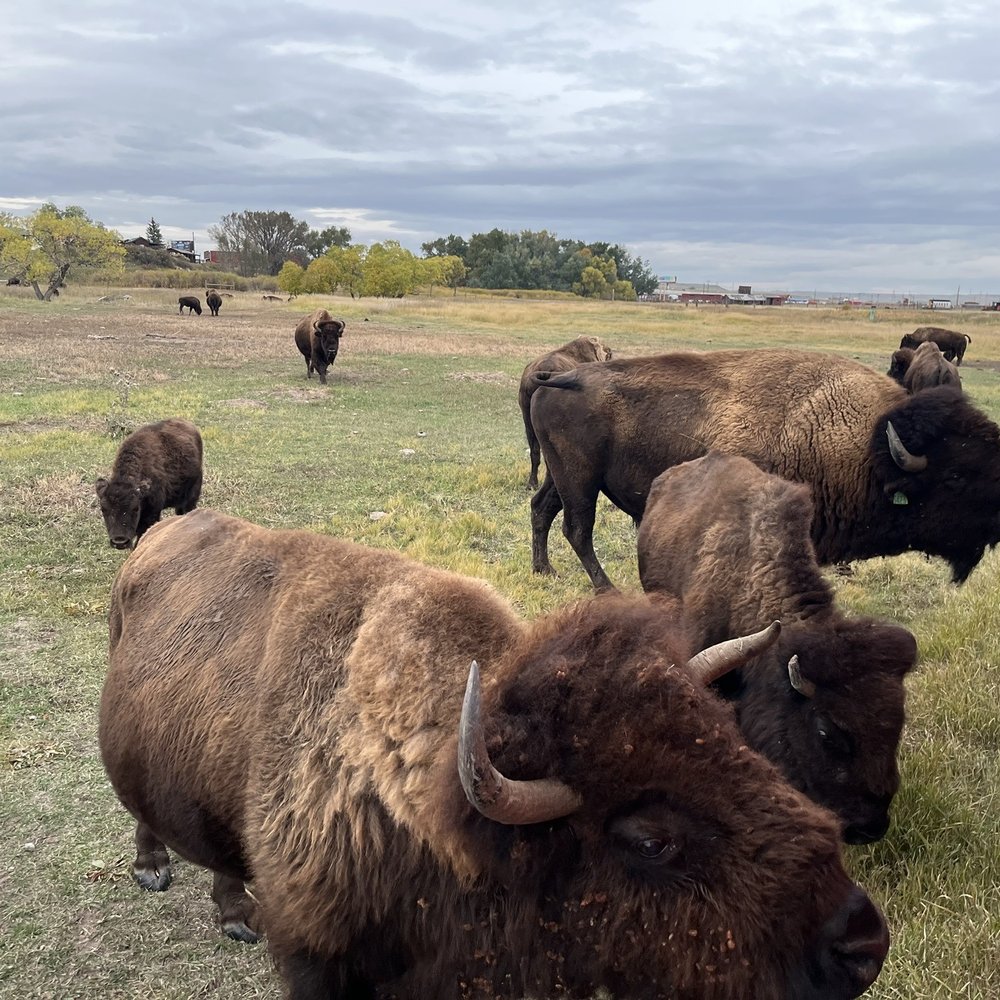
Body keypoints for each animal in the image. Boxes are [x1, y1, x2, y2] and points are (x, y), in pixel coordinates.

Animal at [100, 508, 889, 1000]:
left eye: (739, 748)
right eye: (649, 839)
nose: (861, 944)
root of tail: (152, 541)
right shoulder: (315, 957)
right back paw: (156, 872)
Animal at [530, 348, 1000, 590]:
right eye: (956, 476)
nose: (996, 526)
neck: (868, 447)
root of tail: (561, 378)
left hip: (561, 475)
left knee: (542, 509)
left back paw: (544, 570)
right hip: (580, 480)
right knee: (577, 528)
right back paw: (606, 589)